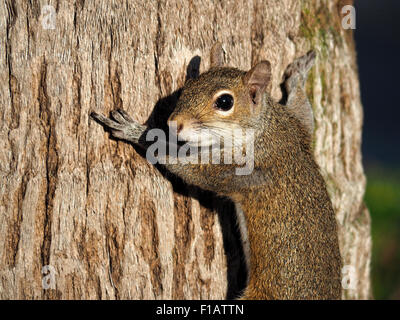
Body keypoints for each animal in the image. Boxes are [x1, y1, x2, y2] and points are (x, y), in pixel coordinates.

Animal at [92, 43, 342, 300]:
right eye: (188, 87)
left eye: (224, 102)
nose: (173, 124)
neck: (263, 129)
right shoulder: (297, 127)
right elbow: (305, 115)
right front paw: (299, 74)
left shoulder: (239, 169)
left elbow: (189, 168)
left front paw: (137, 132)